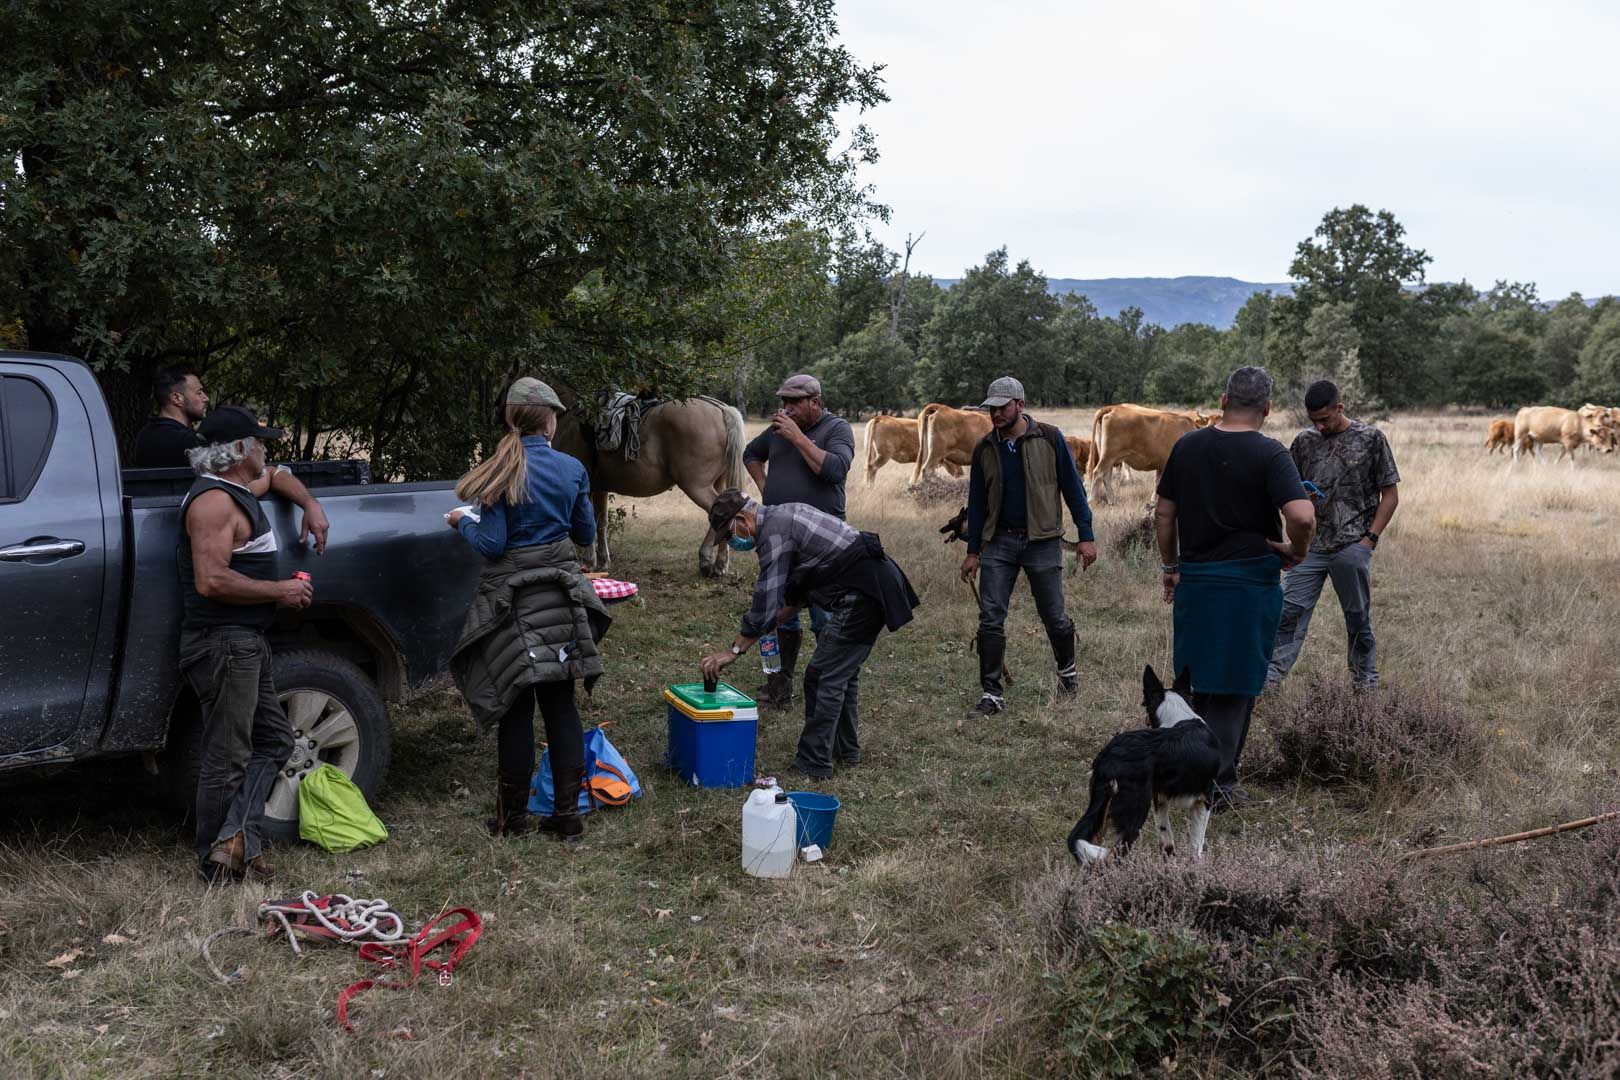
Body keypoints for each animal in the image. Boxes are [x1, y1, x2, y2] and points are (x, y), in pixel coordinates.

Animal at [547, 396, 741, 579]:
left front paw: (588, 562)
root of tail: (720, 409)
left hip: (697, 486)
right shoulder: (600, 488)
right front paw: (602, 562)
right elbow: (601, 522)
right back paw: (720, 564)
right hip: (717, 483)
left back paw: (708, 561)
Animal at [1062, 663, 1218, 867]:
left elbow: (1167, 844)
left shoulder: (1160, 799)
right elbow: (1196, 846)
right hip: (1134, 813)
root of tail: (1109, 756)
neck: (1180, 715)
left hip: (1102, 809)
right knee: (1112, 858)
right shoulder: (1204, 799)